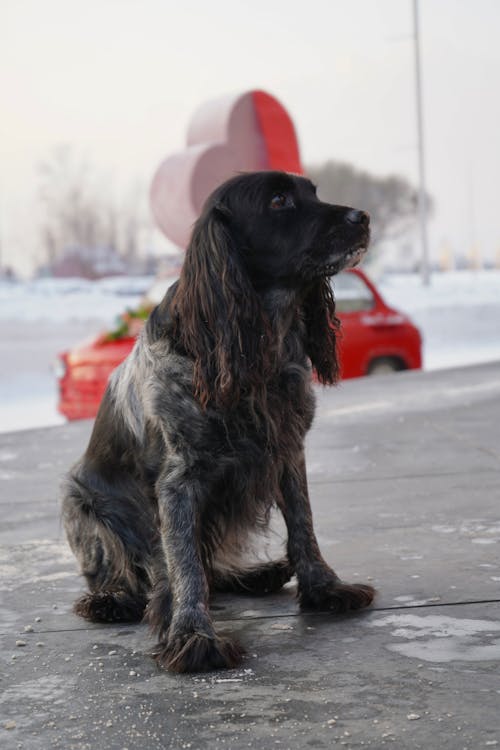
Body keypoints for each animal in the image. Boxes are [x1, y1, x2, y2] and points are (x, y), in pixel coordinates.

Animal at [62, 172, 374, 676]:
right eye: (279, 200)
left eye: (313, 191)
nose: (362, 217)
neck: (258, 345)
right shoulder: (179, 481)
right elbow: (184, 563)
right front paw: (193, 635)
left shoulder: (287, 450)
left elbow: (303, 525)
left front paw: (325, 587)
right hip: (80, 501)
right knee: (126, 571)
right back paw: (112, 599)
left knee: (214, 568)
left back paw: (255, 575)